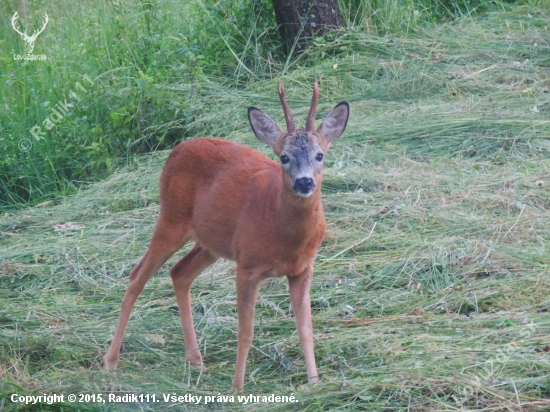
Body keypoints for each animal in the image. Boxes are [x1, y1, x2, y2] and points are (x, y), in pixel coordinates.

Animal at [104, 78, 350, 390]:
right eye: (284, 157)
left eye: (320, 155)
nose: (304, 182)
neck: (283, 235)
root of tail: (177, 148)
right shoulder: (247, 265)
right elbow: (245, 332)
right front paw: (237, 387)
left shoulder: (303, 269)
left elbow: (306, 328)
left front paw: (314, 383)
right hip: (171, 219)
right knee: (137, 276)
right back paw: (110, 361)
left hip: (211, 243)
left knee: (179, 272)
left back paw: (195, 359)